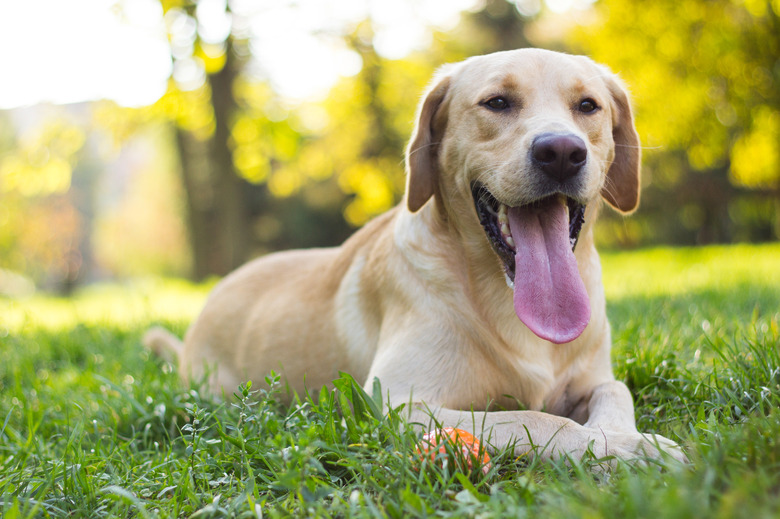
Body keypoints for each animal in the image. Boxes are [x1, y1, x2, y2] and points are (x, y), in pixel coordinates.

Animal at [146, 47, 684, 464]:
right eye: (497, 102)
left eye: (588, 106)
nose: (562, 153)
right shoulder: (399, 403)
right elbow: (535, 418)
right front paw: (623, 447)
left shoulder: (591, 379)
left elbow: (615, 390)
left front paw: (625, 436)